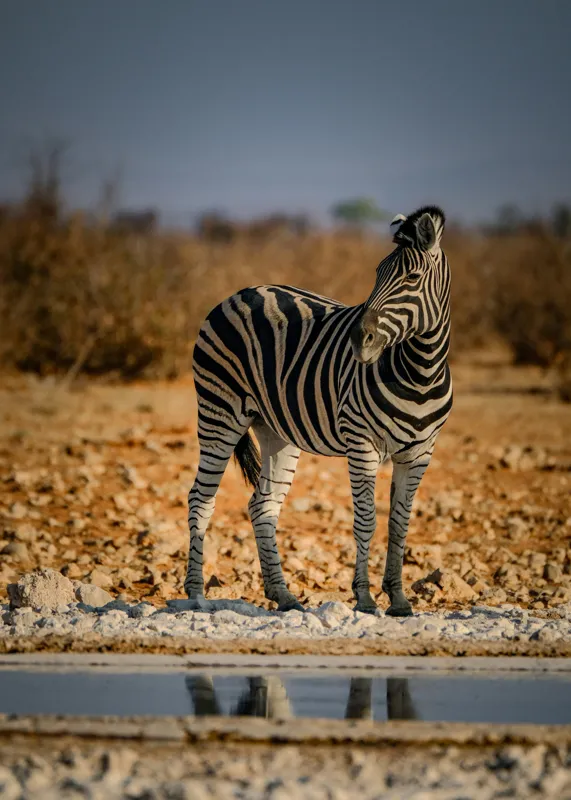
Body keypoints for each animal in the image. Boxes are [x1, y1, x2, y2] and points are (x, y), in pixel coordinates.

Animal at [185, 205, 452, 617]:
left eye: (411, 277)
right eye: (377, 273)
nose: (359, 340)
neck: (420, 373)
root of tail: (240, 292)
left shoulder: (421, 452)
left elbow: (399, 523)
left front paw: (399, 600)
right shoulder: (362, 443)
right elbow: (366, 519)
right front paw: (364, 599)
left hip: (275, 429)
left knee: (262, 505)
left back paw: (283, 595)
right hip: (219, 412)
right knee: (201, 498)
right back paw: (197, 595)